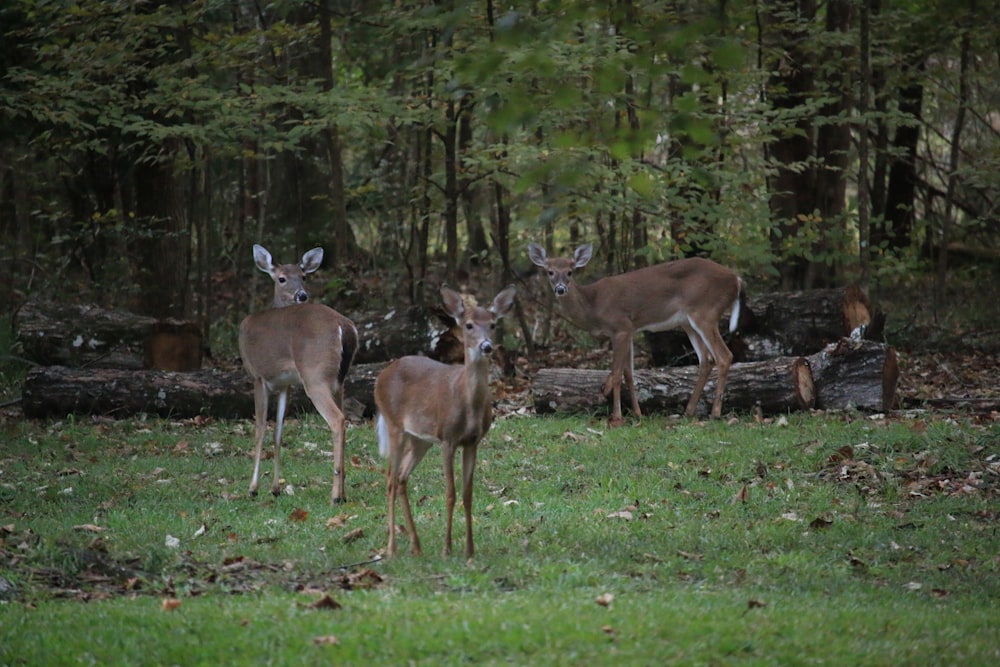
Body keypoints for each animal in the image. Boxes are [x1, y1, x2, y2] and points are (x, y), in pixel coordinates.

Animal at [236, 247, 358, 506]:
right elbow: (278, 432)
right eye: (282, 278)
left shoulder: (257, 376)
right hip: (339, 381)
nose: (302, 295)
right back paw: (343, 493)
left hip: (315, 375)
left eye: (304, 276)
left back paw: (335, 496)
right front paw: (275, 489)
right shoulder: (286, 384)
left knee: (338, 420)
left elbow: (260, 429)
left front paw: (253, 488)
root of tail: (344, 326)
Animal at [376, 284, 516, 560]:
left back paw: (416, 546)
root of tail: (381, 376)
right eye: (469, 325)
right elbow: (450, 493)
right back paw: (391, 547)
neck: (468, 403)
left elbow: (468, 494)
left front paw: (470, 550)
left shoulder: (472, 442)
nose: (486, 346)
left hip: (420, 438)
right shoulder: (447, 438)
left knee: (401, 478)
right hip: (394, 425)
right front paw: (447, 548)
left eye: (493, 324)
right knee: (389, 479)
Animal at [528, 243, 748, 426]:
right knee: (706, 359)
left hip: (705, 311)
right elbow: (629, 374)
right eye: (550, 272)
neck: (594, 305)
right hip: (688, 322)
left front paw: (617, 417)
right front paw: (637, 413)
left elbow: (617, 373)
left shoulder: (620, 326)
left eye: (570, 272)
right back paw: (689, 411)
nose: (560, 289)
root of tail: (736, 279)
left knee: (724, 356)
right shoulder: (630, 330)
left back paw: (715, 413)